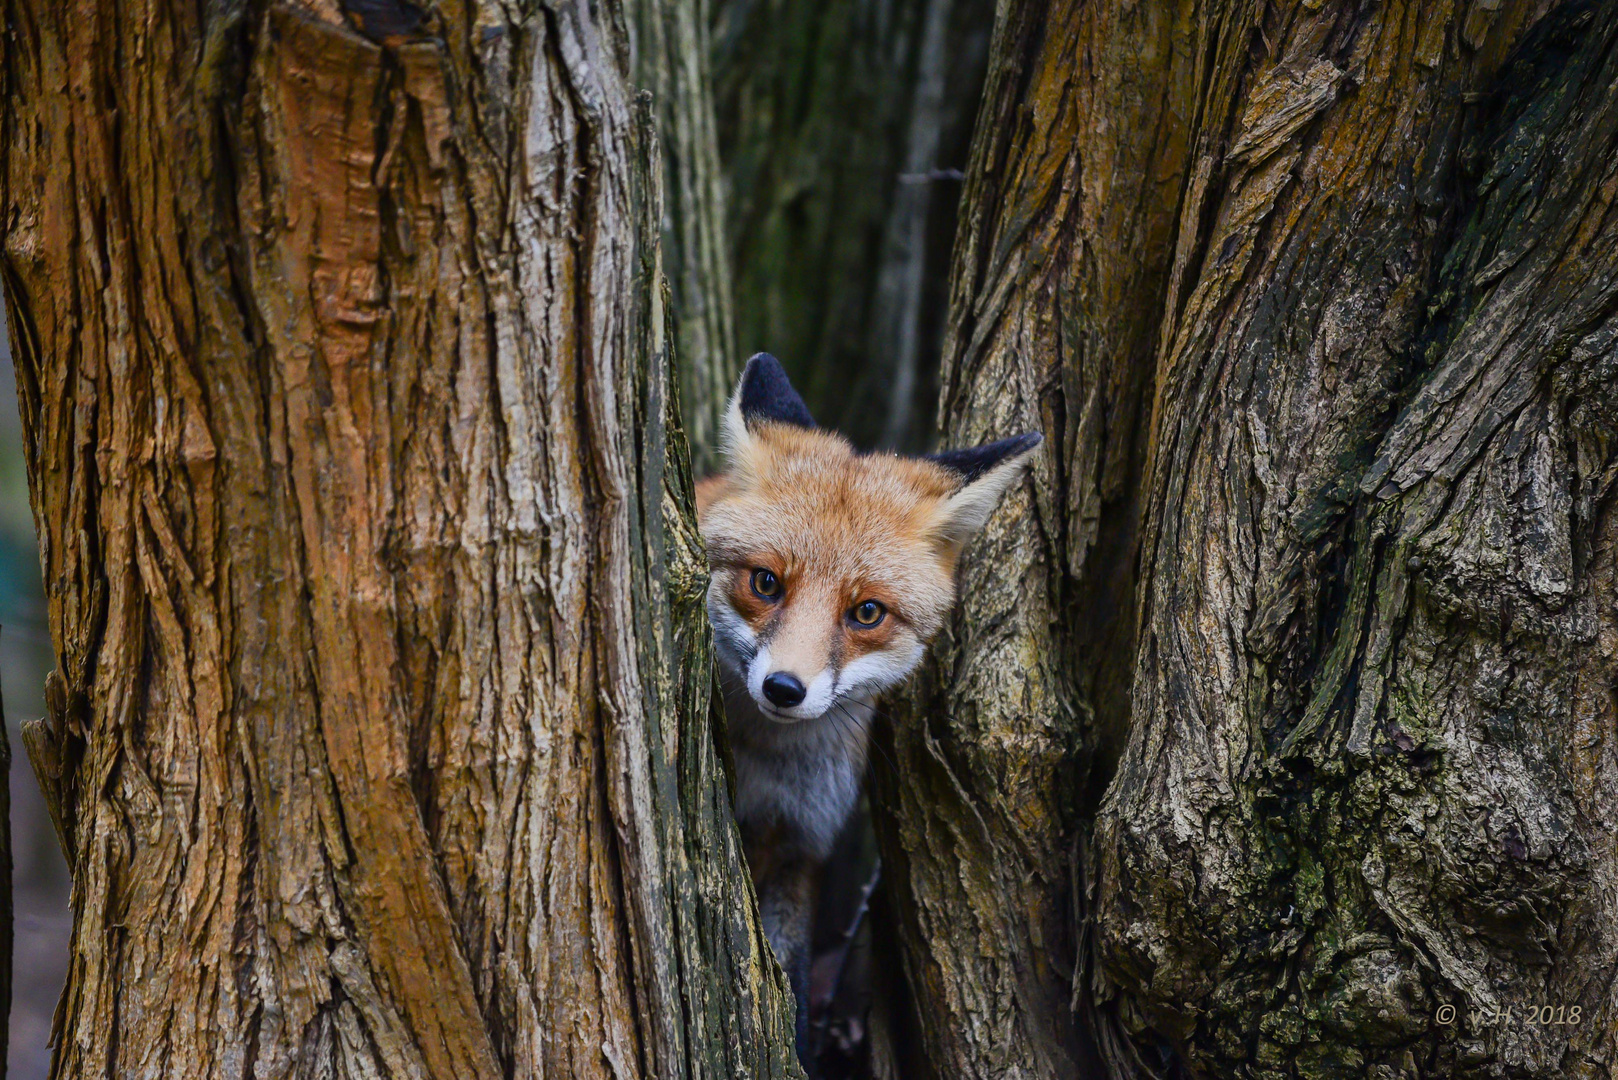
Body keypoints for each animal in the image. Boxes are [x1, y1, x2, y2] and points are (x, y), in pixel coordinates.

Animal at [692, 352, 1041, 1062]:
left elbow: (792, 982)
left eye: (867, 613)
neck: (765, 759)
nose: (784, 689)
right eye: (765, 582)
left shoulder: (798, 841)